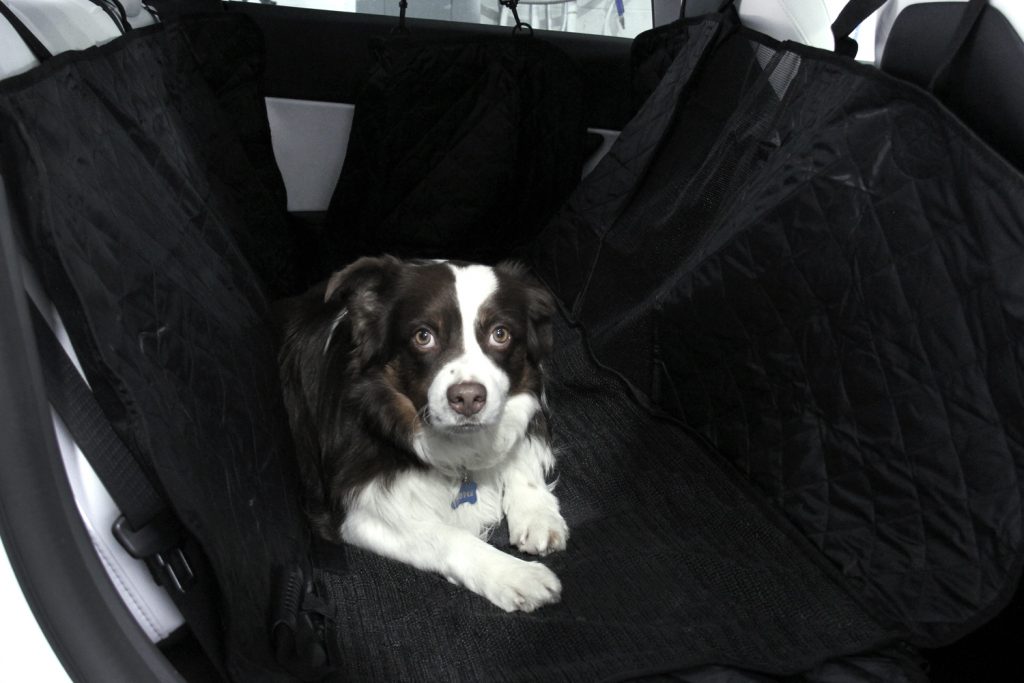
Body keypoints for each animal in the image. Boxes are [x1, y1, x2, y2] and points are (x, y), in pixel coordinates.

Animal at [276, 255, 569, 614]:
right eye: (423, 336)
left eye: (500, 334)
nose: (468, 399)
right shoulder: (354, 512)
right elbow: (443, 535)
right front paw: (516, 575)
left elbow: (523, 444)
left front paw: (537, 513)